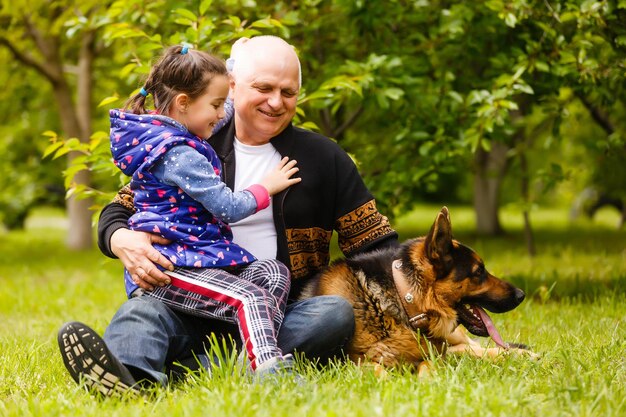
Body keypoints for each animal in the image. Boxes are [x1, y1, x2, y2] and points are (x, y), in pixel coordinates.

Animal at [298, 207, 528, 374]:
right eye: (479, 271)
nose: (521, 295)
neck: (404, 299)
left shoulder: (433, 355)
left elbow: (428, 366)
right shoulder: (349, 363)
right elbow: (378, 371)